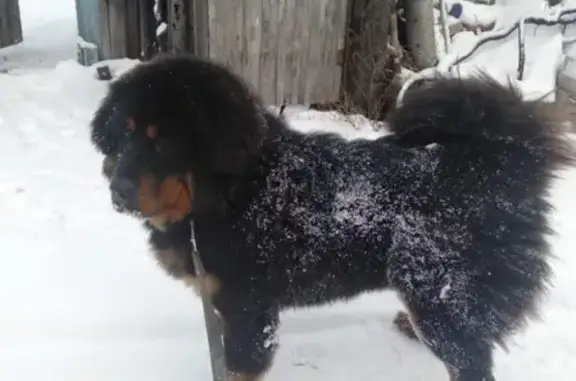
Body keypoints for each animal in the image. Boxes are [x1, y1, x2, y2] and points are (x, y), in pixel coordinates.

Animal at [88, 54, 572, 380]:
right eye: (125, 133)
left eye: (164, 141)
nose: (117, 189)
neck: (234, 194)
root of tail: (497, 159)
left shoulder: (250, 311)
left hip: (440, 297)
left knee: (470, 359)